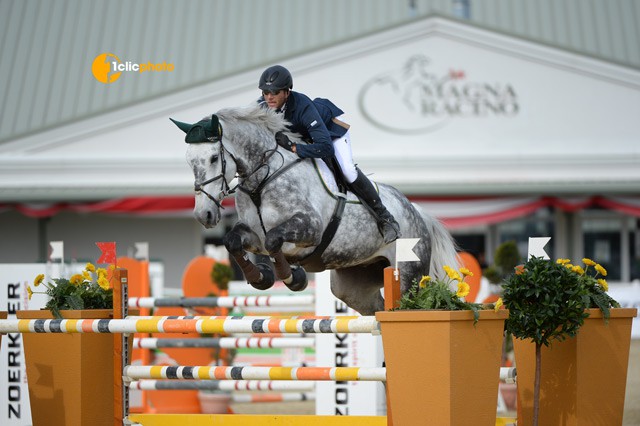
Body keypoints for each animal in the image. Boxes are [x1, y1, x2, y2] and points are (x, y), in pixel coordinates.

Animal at [171, 105, 460, 314]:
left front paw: (291, 277)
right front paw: (260, 277)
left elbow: (274, 239)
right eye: (189, 161)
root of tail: (416, 211)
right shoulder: (252, 235)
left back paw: (389, 224)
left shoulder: (310, 229)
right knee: (376, 313)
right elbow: (233, 241)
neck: (262, 180)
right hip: (354, 285)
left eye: (213, 158)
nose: (204, 215)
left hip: (409, 275)